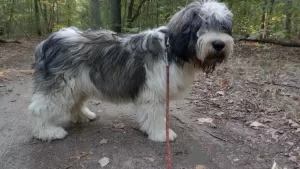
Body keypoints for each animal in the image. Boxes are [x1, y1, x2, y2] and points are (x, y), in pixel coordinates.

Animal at [28, 0, 234, 143]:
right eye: (201, 25)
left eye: (223, 27)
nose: (219, 44)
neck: (174, 49)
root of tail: (47, 42)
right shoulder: (153, 93)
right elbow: (155, 115)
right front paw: (161, 133)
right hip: (61, 85)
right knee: (39, 108)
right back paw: (47, 132)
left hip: (78, 84)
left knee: (75, 102)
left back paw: (82, 115)